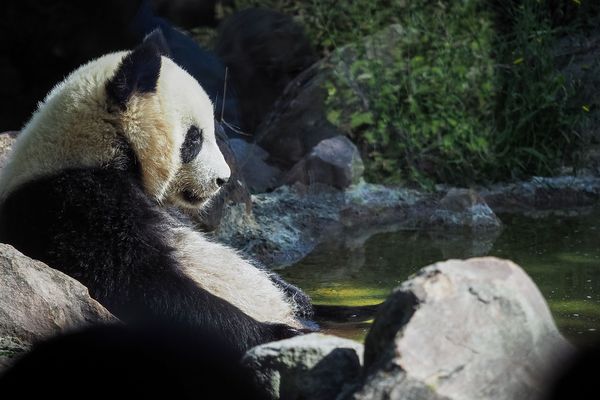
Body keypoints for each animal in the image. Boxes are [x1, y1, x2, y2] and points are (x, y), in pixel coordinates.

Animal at [0, 31, 312, 356]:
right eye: (194, 139)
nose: (222, 179)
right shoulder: (74, 202)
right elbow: (137, 282)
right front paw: (276, 332)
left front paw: (296, 295)